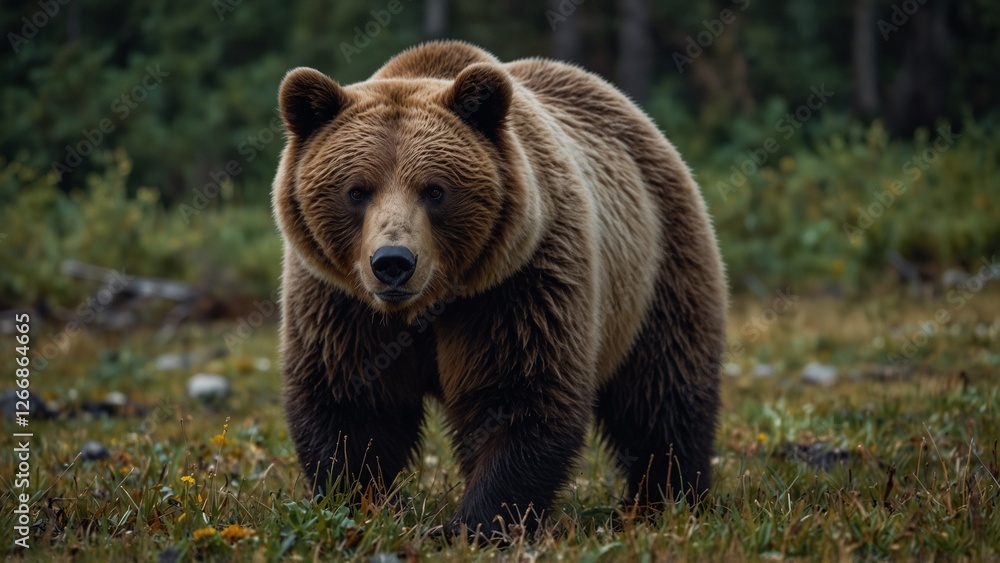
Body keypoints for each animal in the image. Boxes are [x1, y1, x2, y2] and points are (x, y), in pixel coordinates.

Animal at [273, 40, 727, 539]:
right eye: (357, 190)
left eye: (434, 190)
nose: (393, 262)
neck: (428, 306)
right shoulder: (340, 302)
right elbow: (349, 399)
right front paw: (357, 501)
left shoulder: (516, 286)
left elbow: (518, 395)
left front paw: (471, 526)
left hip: (658, 267)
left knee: (662, 392)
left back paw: (666, 500)